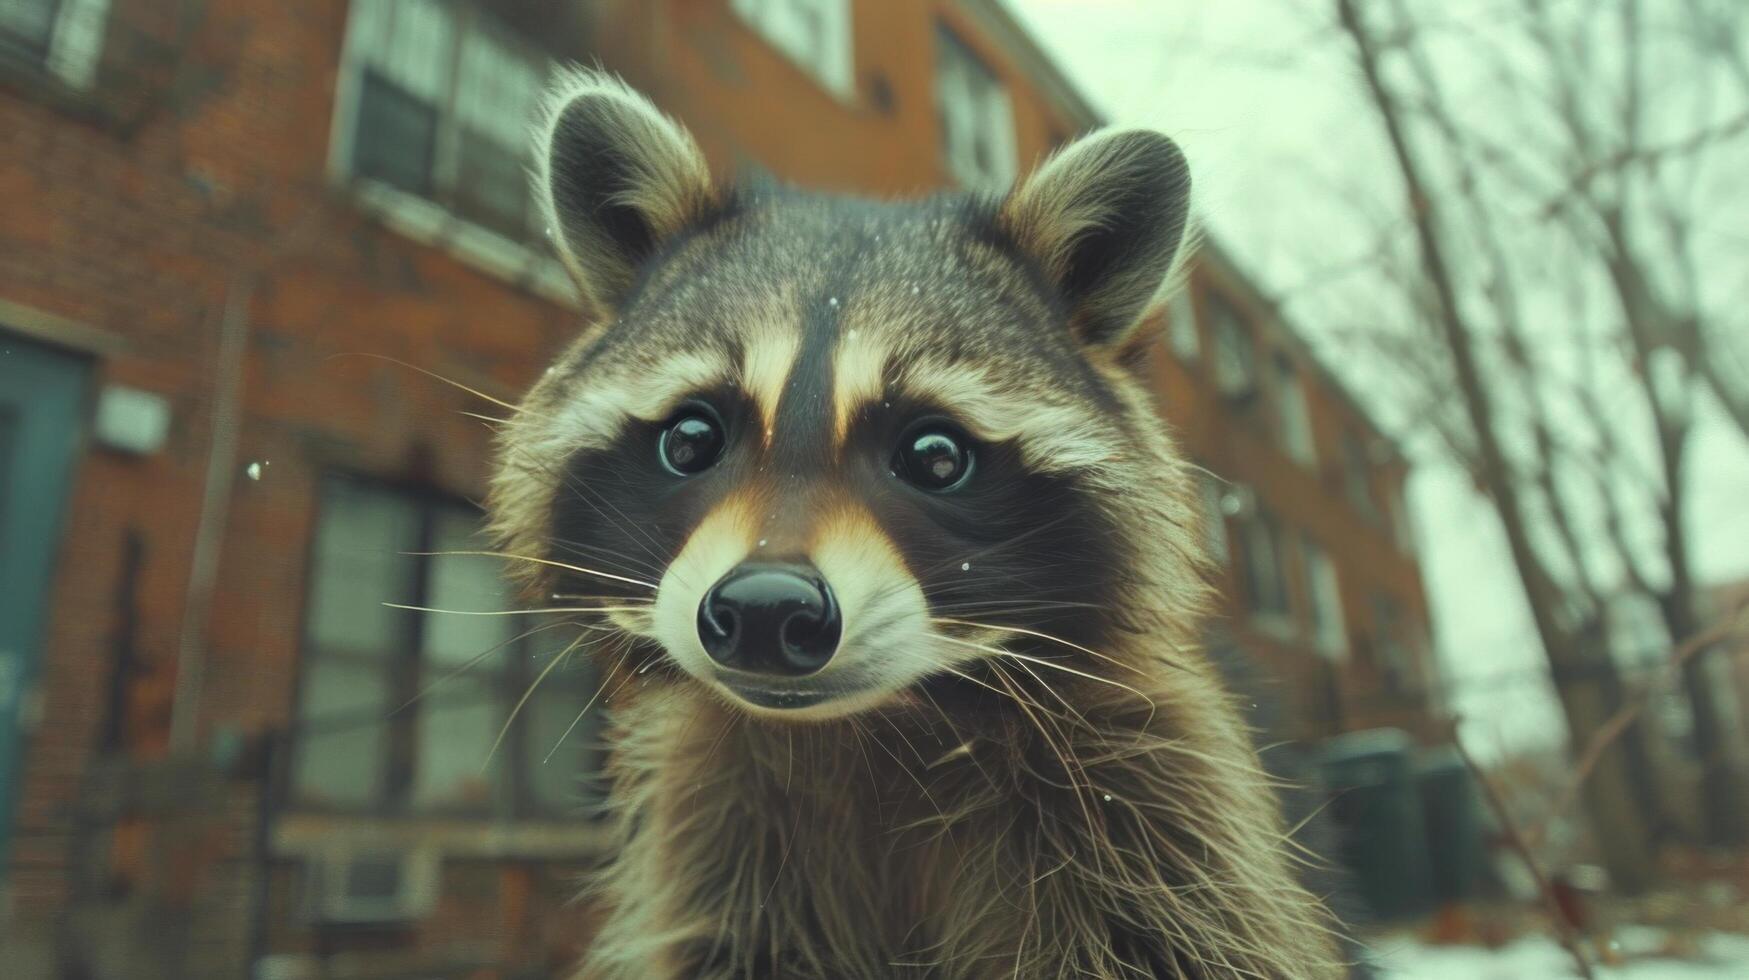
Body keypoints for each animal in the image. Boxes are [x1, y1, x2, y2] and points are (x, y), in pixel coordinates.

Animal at [493, 74, 1336, 980]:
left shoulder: (1154, 815)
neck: (876, 731)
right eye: (690, 439)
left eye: (935, 457)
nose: (764, 611)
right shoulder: (725, 849)